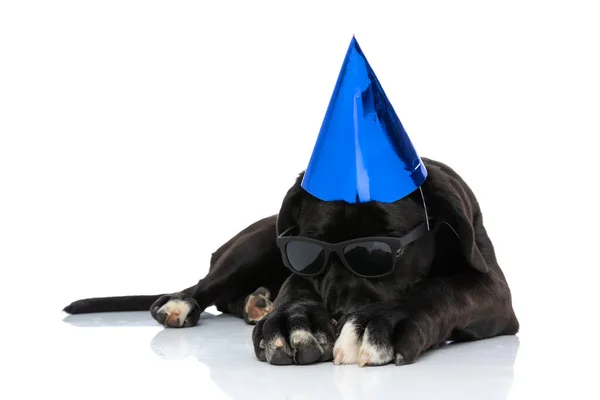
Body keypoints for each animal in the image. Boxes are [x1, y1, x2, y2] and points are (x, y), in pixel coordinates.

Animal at [63, 156, 516, 366]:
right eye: (310, 247)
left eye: (379, 250)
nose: (339, 313)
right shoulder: (296, 263)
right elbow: (296, 288)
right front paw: (293, 322)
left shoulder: (492, 288)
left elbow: (441, 290)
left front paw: (381, 322)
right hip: (253, 245)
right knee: (204, 288)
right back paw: (184, 303)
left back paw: (255, 303)